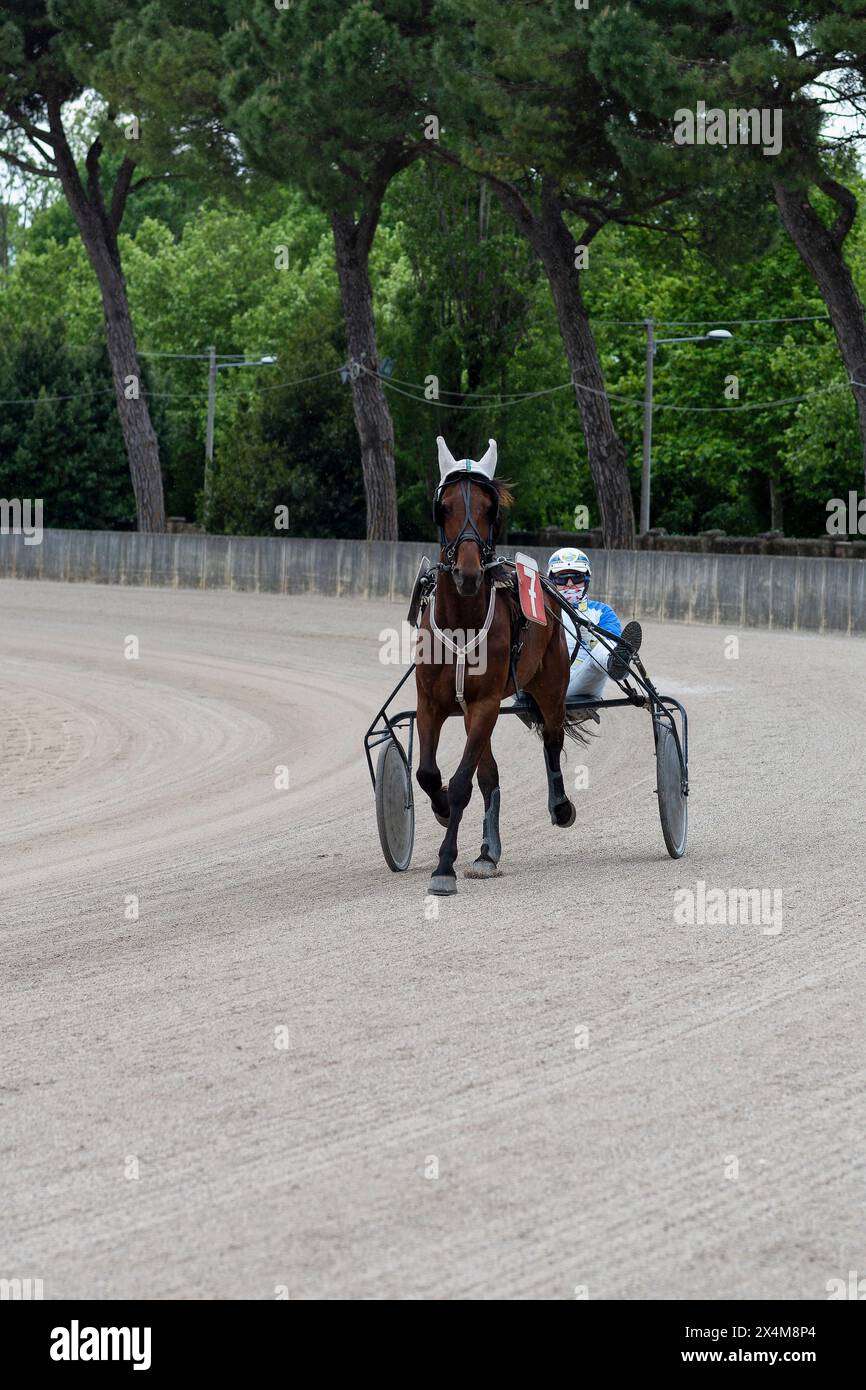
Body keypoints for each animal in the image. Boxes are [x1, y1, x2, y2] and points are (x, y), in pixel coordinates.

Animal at [414, 447, 589, 900]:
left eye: (489, 508)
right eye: (444, 507)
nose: (468, 573)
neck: (462, 622)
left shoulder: (485, 703)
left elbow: (461, 783)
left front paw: (444, 867)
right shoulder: (430, 703)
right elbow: (428, 774)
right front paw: (441, 808)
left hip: (548, 687)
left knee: (552, 739)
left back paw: (560, 806)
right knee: (488, 775)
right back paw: (486, 853)